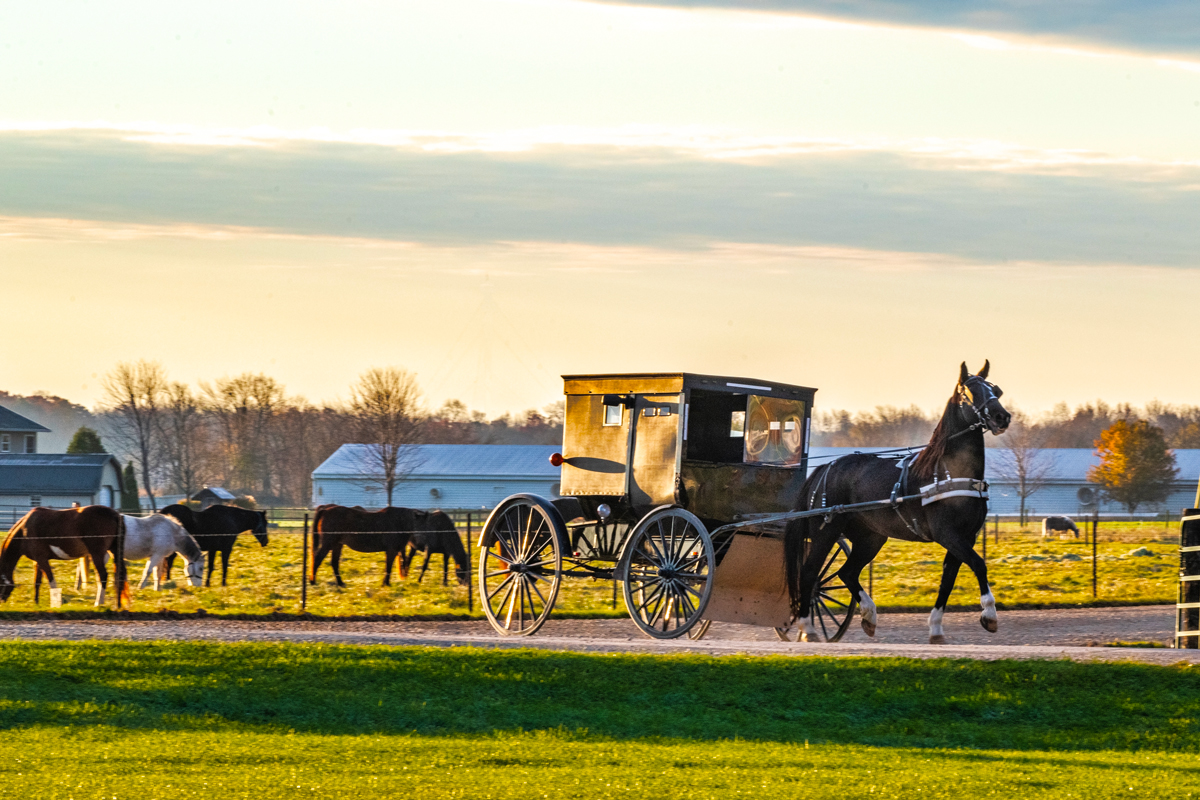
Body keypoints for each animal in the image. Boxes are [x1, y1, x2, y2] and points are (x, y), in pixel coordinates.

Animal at [787, 362, 1012, 642]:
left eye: (995, 390)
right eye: (970, 393)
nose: (1002, 417)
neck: (949, 472)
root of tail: (826, 467)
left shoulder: (965, 537)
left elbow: (948, 580)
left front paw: (936, 628)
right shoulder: (948, 534)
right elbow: (979, 565)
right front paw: (989, 614)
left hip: (871, 537)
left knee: (847, 573)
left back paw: (869, 616)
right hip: (825, 531)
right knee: (809, 574)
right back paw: (807, 627)